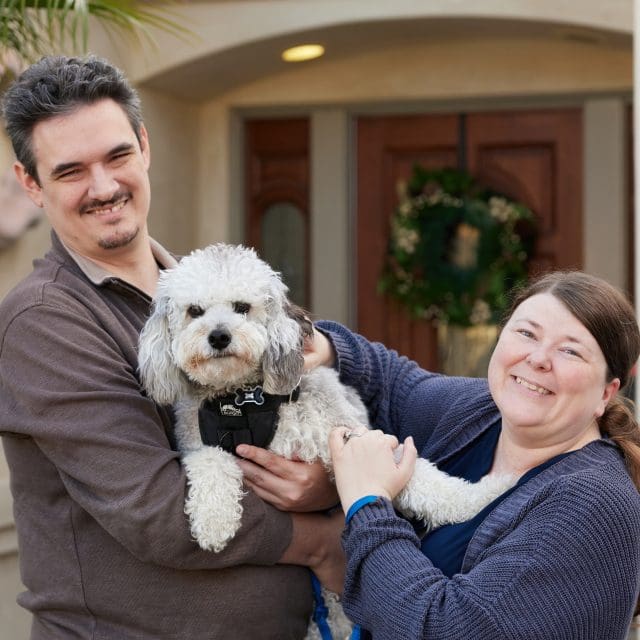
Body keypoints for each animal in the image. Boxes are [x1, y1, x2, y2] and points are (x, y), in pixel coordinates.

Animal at [138, 244, 512, 640]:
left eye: (242, 306)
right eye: (195, 311)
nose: (219, 336)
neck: (245, 400)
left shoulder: (354, 436)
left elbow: (431, 483)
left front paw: (486, 495)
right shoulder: (199, 444)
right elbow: (211, 464)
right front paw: (214, 521)